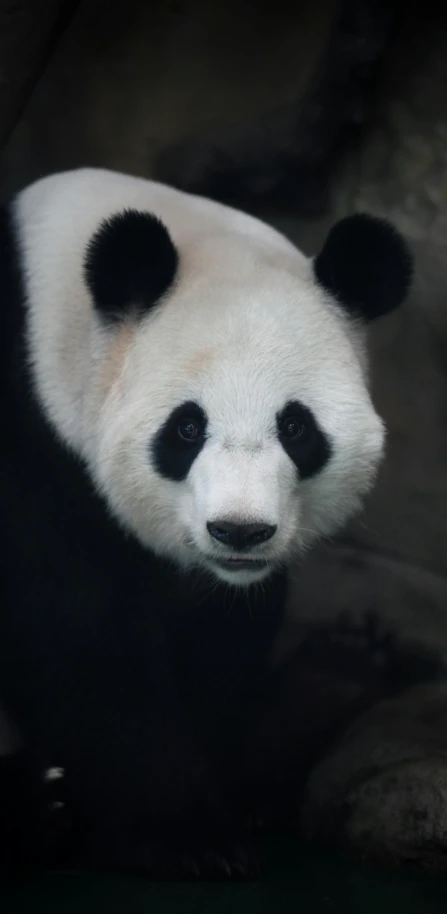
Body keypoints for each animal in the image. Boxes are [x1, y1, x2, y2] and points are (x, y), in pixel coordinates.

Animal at [0, 169, 412, 876]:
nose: (240, 531)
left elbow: (219, 641)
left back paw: (339, 671)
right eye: (187, 428)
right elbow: (76, 633)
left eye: (296, 427)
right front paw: (183, 835)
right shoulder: (28, 452)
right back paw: (39, 805)